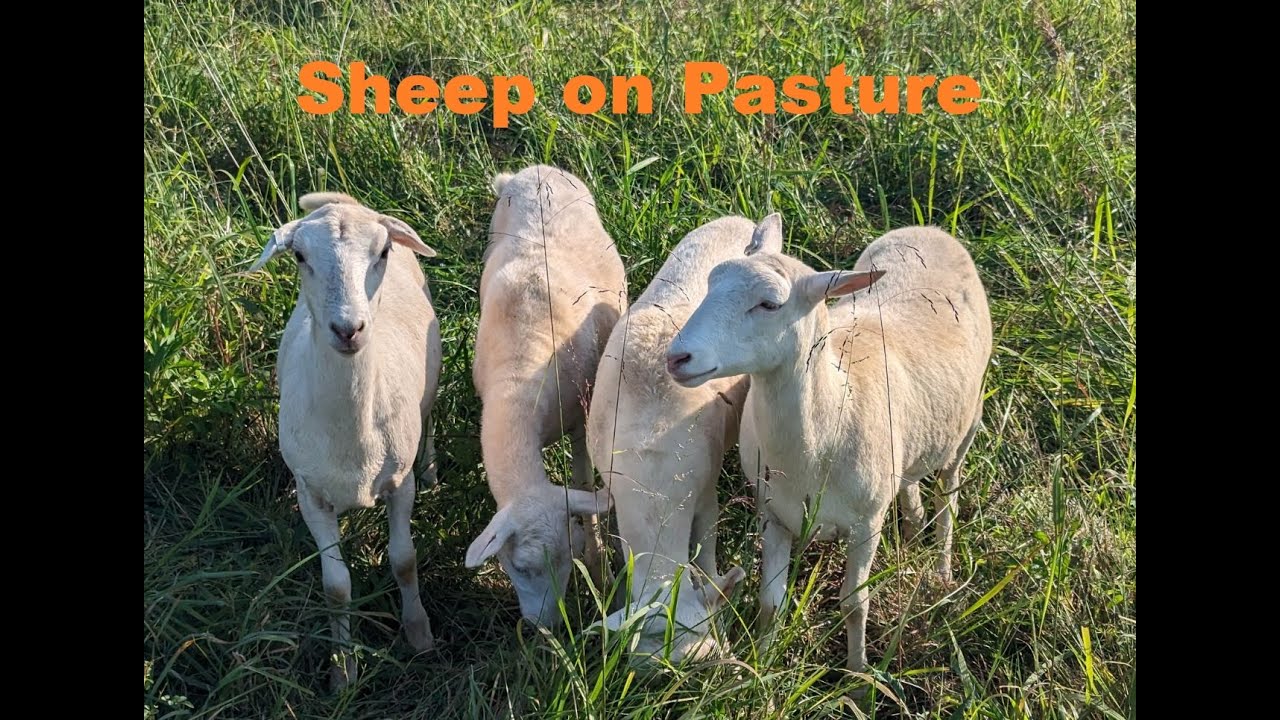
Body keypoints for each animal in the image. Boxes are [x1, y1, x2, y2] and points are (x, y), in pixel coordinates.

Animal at [247, 191, 441, 689]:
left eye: (382, 252)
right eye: (299, 256)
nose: (347, 329)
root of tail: (345, 199)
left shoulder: (399, 482)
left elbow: (404, 559)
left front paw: (419, 634)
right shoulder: (311, 494)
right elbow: (335, 587)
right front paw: (342, 668)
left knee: (430, 417)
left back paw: (433, 468)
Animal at [465, 165, 626, 627]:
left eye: (568, 561)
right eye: (519, 566)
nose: (549, 627)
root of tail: (535, 170)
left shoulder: (581, 421)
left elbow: (584, 483)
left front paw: (600, 568)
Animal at [667, 218, 992, 673]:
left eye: (770, 305)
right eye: (711, 282)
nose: (677, 357)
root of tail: (929, 229)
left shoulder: (866, 525)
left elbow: (855, 605)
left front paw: (858, 675)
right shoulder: (774, 513)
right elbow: (770, 602)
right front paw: (763, 667)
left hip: (968, 424)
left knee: (949, 500)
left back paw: (942, 573)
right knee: (912, 482)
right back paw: (912, 531)